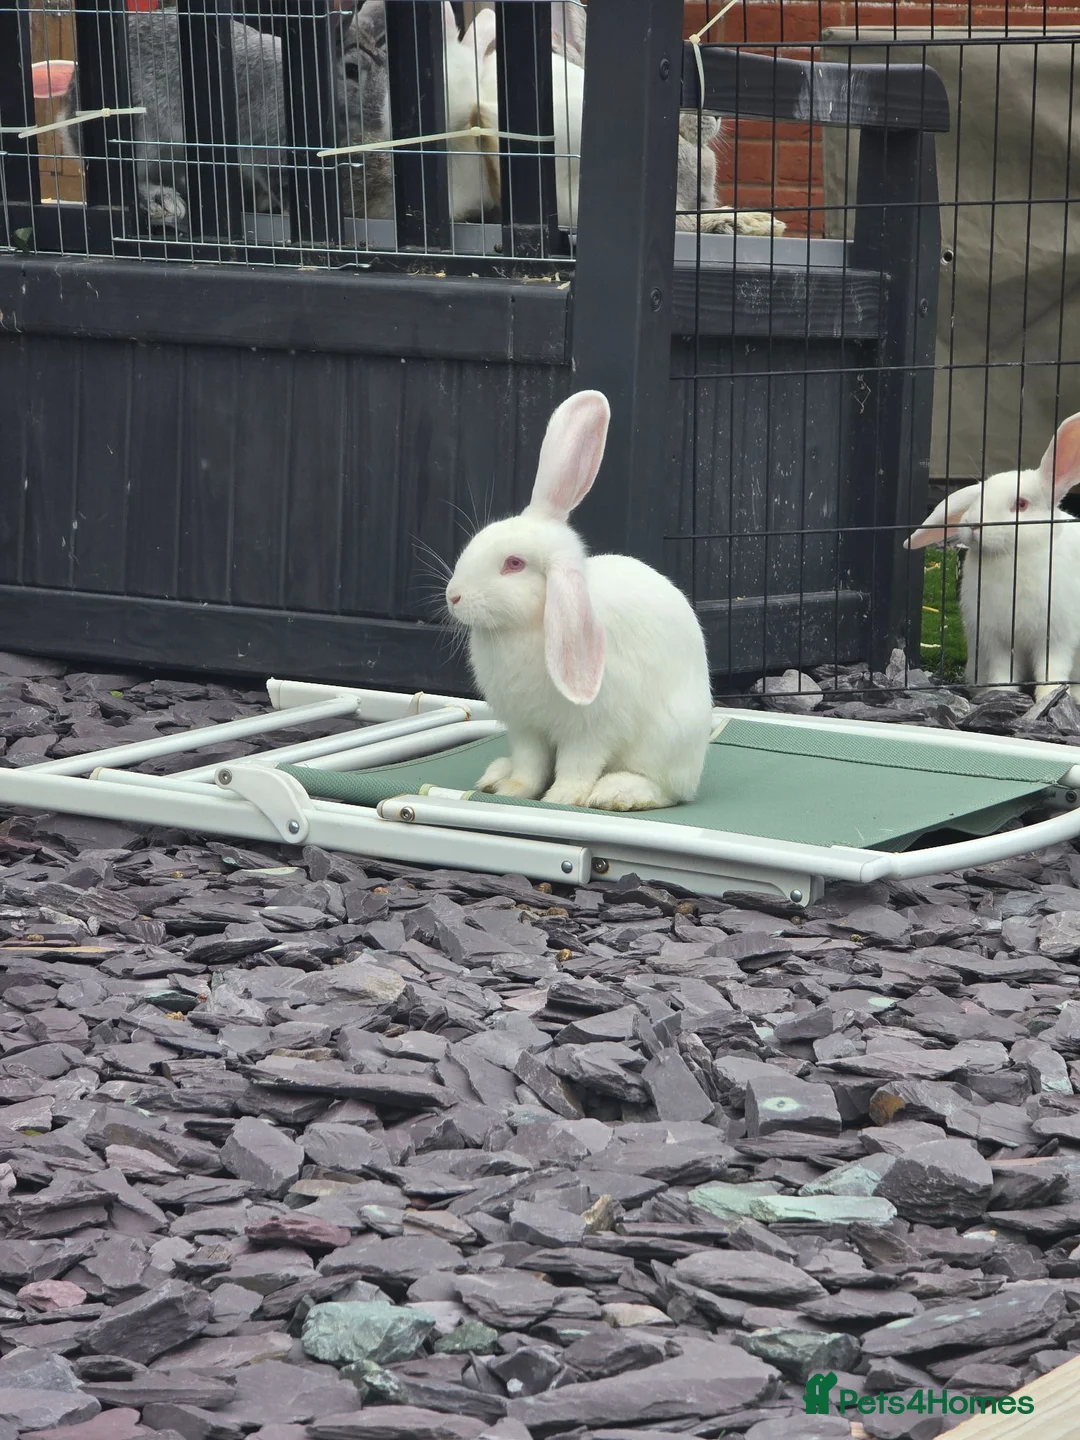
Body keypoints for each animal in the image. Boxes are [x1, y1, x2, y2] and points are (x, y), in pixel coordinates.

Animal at [444, 390, 714, 812]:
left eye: (514, 564)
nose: (452, 596)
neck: (528, 626)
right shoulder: (526, 728)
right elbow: (530, 763)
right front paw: (515, 790)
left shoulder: (591, 730)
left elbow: (577, 764)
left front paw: (562, 798)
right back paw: (496, 775)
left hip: (668, 739)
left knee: (667, 790)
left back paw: (618, 793)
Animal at [905, 410, 1080, 701]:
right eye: (978, 498)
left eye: (1021, 504)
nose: (973, 524)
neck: (1012, 556)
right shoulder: (996, 641)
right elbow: (1003, 673)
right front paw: (998, 694)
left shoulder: (1056, 638)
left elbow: (1051, 671)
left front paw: (1048, 697)